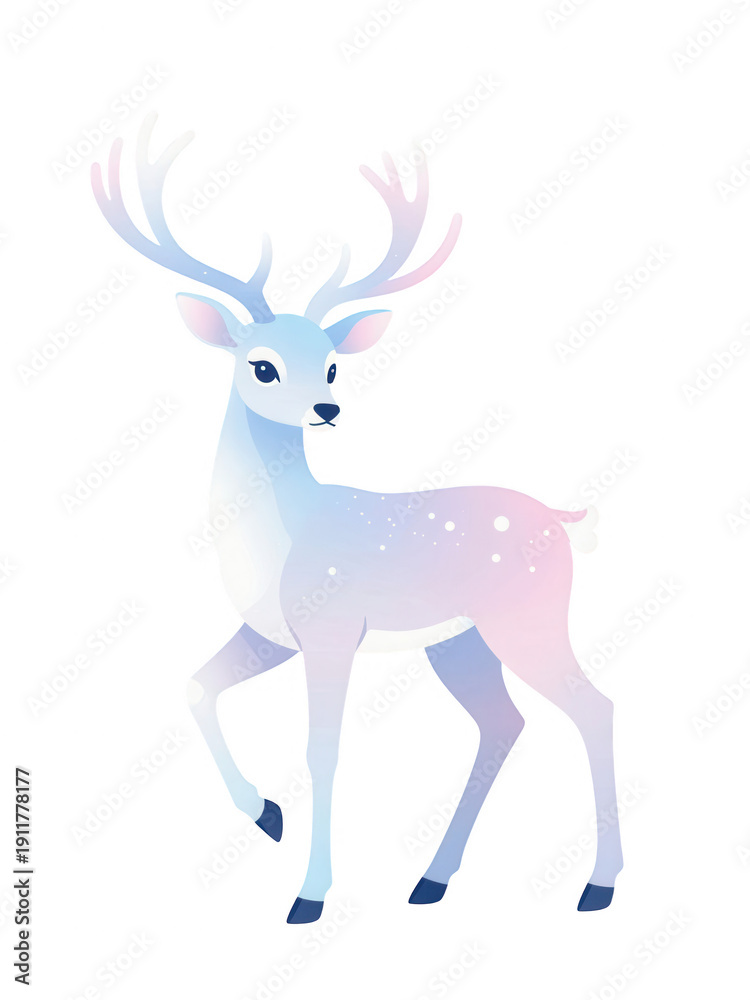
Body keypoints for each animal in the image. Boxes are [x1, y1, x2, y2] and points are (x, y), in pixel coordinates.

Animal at [91, 113, 622, 924]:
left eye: (334, 363)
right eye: (263, 364)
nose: (328, 408)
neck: (277, 536)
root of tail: (564, 522)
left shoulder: (332, 628)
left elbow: (323, 749)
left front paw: (308, 896)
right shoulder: (269, 632)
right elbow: (195, 687)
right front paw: (266, 815)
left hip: (527, 619)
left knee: (594, 707)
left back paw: (598, 886)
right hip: (460, 643)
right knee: (504, 723)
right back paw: (432, 881)